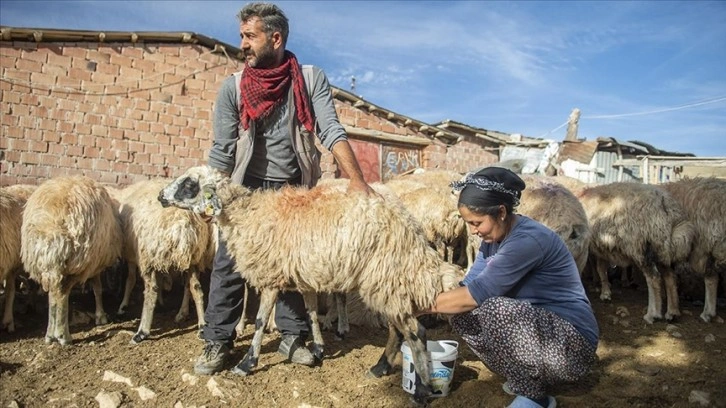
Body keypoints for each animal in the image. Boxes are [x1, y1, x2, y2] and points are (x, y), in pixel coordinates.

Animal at [21, 175, 122, 344]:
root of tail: (53, 224)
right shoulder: (94, 262)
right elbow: (97, 288)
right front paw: (101, 316)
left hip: (44, 262)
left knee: (53, 293)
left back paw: (50, 334)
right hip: (78, 260)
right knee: (62, 293)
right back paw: (63, 336)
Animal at [115, 180, 213, 342]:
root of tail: (184, 220)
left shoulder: (136, 255)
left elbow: (130, 279)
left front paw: (123, 306)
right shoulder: (158, 259)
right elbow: (160, 278)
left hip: (148, 254)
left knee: (151, 290)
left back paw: (142, 331)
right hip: (192, 258)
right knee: (196, 288)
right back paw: (202, 325)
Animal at [160, 166, 466, 404]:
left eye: (189, 184)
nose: (160, 197)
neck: (247, 214)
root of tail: (409, 225)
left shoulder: (271, 276)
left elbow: (259, 323)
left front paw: (247, 363)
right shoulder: (304, 274)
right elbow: (309, 313)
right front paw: (317, 350)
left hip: (387, 276)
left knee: (416, 332)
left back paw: (422, 391)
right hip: (387, 282)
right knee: (398, 329)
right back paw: (380, 368)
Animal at [576, 181, 696, 322]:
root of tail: (667, 206)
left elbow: (598, 268)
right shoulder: (601, 246)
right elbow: (601, 269)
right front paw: (605, 292)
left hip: (642, 247)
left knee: (654, 278)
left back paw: (652, 314)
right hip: (661, 248)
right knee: (670, 277)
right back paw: (672, 312)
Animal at [664, 177, 726, 324]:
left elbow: (669, 279)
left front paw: (672, 312)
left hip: (703, 247)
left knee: (711, 278)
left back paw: (707, 312)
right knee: (713, 277)